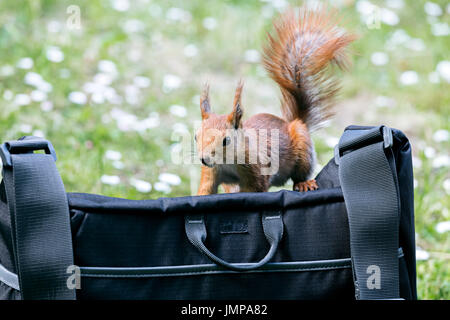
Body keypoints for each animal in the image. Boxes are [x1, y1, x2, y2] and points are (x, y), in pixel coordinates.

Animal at [195, 6, 356, 195]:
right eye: (196, 137)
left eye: (226, 140)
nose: (204, 159)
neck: (227, 163)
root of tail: (290, 122)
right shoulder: (211, 174)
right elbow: (205, 190)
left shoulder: (256, 171)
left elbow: (254, 190)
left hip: (303, 148)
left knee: (300, 174)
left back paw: (304, 183)